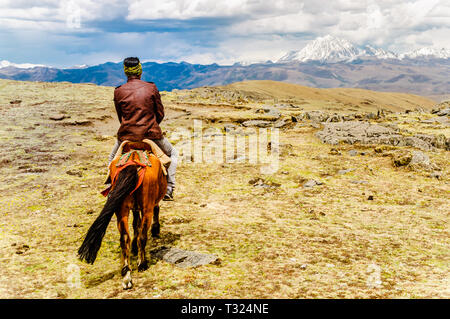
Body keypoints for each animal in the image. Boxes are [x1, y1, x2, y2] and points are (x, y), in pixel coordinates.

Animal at [78, 142, 168, 290]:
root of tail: (133, 161)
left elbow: (135, 225)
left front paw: (134, 247)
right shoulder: (147, 207)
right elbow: (145, 221)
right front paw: (155, 229)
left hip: (121, 210)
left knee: (124, 238)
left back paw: (126, 275)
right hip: (146, 208)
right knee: (142, 236)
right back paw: (142, 264)